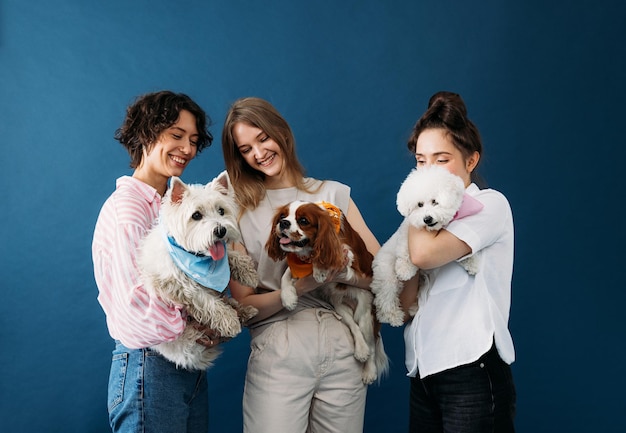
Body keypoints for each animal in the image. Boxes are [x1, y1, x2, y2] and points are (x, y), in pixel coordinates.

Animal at [140, 172, 258, 368]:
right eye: (196, 215)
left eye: (221, 210)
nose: (221, 230)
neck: (196, 257)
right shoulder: (182, 286)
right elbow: (208, 302)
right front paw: (230, 322)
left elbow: (230, 255)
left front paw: (248, 272)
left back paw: (245, 311)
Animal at [266, 201, 388, 384]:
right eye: (282, 216)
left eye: (303, 220)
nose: (284, 223)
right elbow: (286, 274)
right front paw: (288, 297)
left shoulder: (347, 256)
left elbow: (325, 256)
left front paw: (319, 269)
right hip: (340, 307)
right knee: (354, 328)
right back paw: (360, 350)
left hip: (366, 313)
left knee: (372, 344)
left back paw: (369, 371)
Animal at [370, 165, 482, 324]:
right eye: (420, 205)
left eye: (435, 201)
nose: (427, 219)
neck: (434, 230)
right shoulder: (407, 231)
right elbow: (404, 249)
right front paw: (405, 269)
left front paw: (472, 263)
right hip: (387, 274)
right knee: (385, 296)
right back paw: (392, 315)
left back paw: (413, 308)